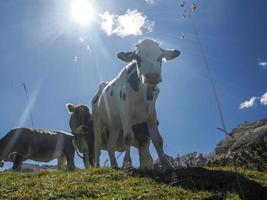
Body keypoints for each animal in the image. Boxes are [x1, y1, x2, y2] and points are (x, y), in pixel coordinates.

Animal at [92, 39, 182, 170]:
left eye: (160, 57)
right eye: (137, 58)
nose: (152, 76)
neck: (142, 91)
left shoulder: (152, 113)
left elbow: (158, 140)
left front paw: (167, 165)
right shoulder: (125, 113)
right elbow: (128, 137)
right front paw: (127, 164)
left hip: (114, 125)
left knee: (110, 146)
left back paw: (114, 165)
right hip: (97, 121)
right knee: (97, 146)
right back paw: (97, 167)